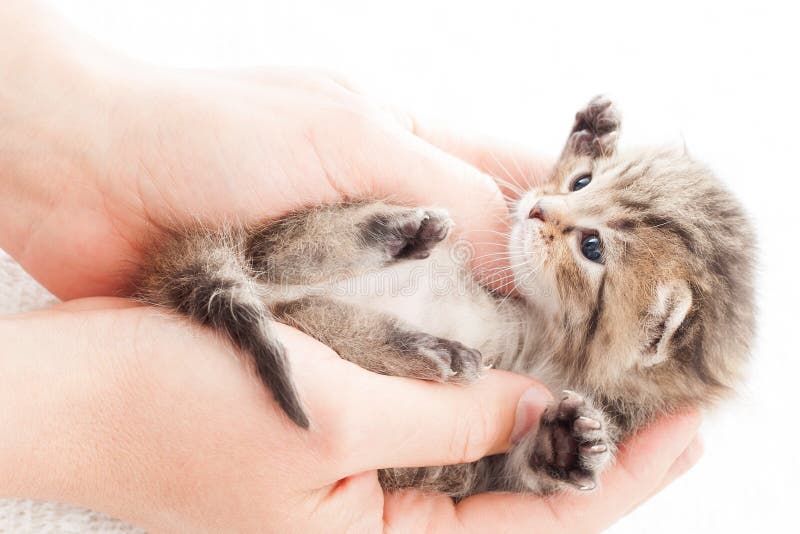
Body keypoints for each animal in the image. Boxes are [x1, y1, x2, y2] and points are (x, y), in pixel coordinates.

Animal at [134, 97, 752, 498]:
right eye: (581, 183)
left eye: (593, 247)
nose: (537, 210)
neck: (545, 335)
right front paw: (590, 131)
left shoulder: (479, 471)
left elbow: (510, 475)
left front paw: (561, 447)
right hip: (280, 243)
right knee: (275, 258)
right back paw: (391, 239)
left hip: (304, 318)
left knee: (310, 312)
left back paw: (424, 346)